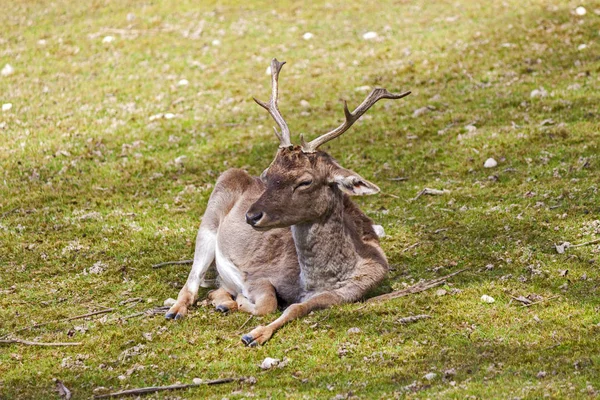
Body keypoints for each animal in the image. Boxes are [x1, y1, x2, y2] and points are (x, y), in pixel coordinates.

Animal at [164, 59, 410, 346]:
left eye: (305, 181)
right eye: (267, 174)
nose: (251, 216)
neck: (312, 282)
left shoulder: (349, 292)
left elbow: (296, 308)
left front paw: (253, 330)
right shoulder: (257, 274)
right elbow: (269, 303)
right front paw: (247, 319)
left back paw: (222, 301)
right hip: (209, 222)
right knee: (191, 283)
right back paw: (177, 311)